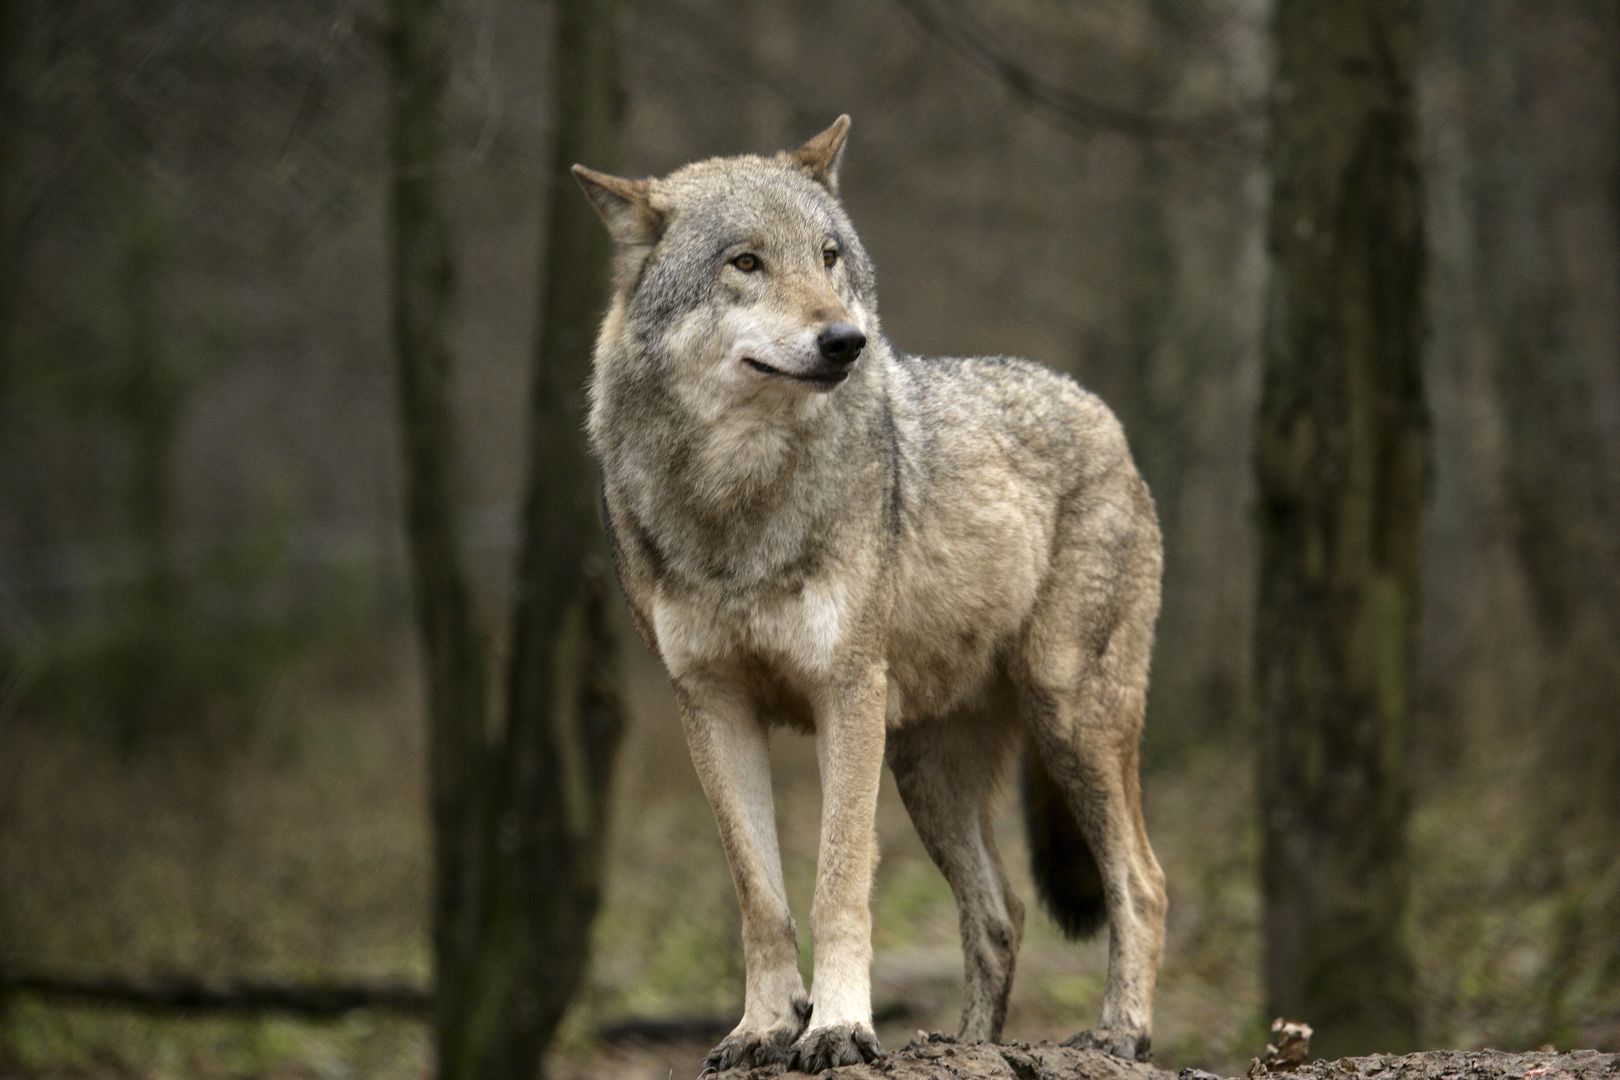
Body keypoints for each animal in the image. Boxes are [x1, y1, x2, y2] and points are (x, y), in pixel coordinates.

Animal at [573, 114, 1166, 1075]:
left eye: (829, 256)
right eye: (746, 262)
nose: (846, 340)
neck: (740, 502)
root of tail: (1098, 409)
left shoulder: (844, 693)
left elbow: (838, 883)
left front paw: (840, 1027)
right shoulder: (711, 704)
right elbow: (760, 897)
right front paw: (763, 1028)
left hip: (1071, 718)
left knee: (1140, 882)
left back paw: (1119, 1033)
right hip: (928, 767)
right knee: (1000, 914)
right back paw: (966, 1044)